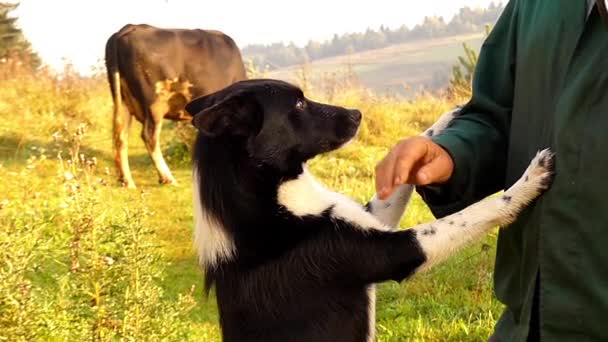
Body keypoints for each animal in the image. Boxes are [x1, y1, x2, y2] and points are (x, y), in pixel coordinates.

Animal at [105, 23, 246, 190]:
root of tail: (131, 27)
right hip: (156, 101)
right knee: (149, 136)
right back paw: (167, 178)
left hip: (123, 101)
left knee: (121, 136)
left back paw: (127, 181)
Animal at [186, 79, 556, 342]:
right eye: (299, 104)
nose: (357, 113)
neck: (271, 200)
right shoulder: (395, 251)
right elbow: (471, 214)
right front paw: (526, 184)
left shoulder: (372, 216)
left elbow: (411, 159)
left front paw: (446, 118)